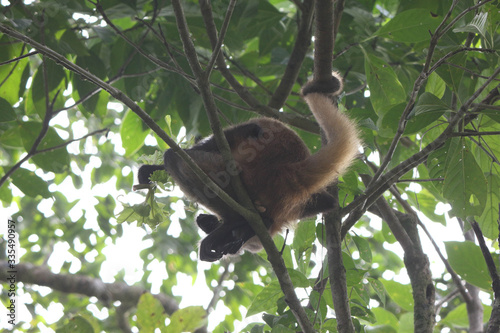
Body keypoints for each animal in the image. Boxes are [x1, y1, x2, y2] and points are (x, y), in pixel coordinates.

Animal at [138, 73, 360, 262]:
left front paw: (150, 171)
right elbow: (329, 202)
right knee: (322, 203)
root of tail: (291, 168)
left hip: (237, 173)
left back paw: (232, 224)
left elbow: (240, 133)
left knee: (176, 159)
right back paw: (248, 227)